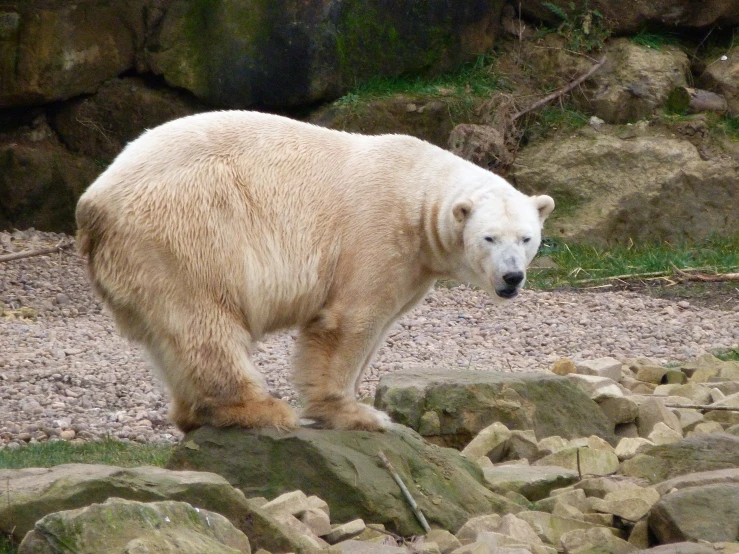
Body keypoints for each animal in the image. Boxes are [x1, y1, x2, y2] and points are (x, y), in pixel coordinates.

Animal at [78, 110, 556, 432]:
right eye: (489, 238)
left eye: (526, 238)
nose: (512, 277)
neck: (417, 194)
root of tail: (94, 203)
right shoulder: (375, 235)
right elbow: (352, 320)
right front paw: (358, 413)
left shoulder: (415, 263)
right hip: (188, 233)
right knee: (205, 321)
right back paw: (260, 409)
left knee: (168, 333)